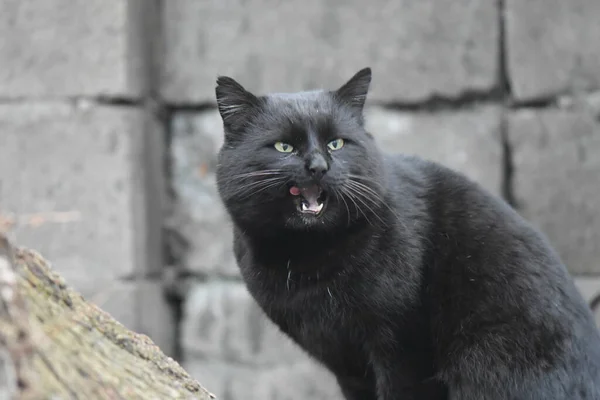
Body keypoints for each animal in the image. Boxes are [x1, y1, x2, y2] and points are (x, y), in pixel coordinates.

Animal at [213, 67, 596, 398]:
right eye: (284, 147)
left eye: (336, 143)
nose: (319, 166)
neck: (309, 259)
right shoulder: (348, 366)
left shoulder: (403, 347)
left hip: (488, 356)